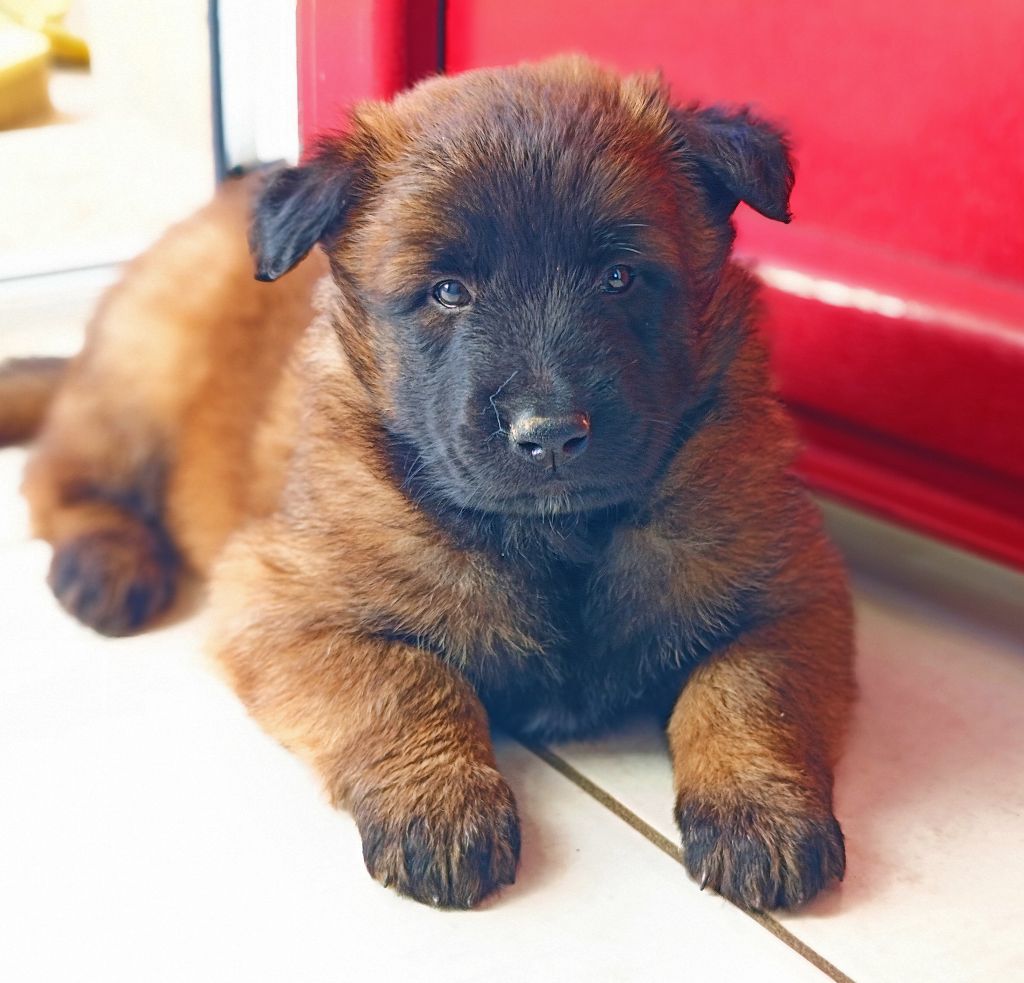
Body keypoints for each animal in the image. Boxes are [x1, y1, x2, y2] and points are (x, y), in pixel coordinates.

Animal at [2, 57, 856, 909]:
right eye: (448, 290)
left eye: (620, 277)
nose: (550, 433)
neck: (559, 540)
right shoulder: (279, 602)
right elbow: (405, 675)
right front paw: (441, 802)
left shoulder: (793, 590)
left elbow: (746, 688)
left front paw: (760, 811)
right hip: (144, 379)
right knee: (57, 474)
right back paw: (106, 564)